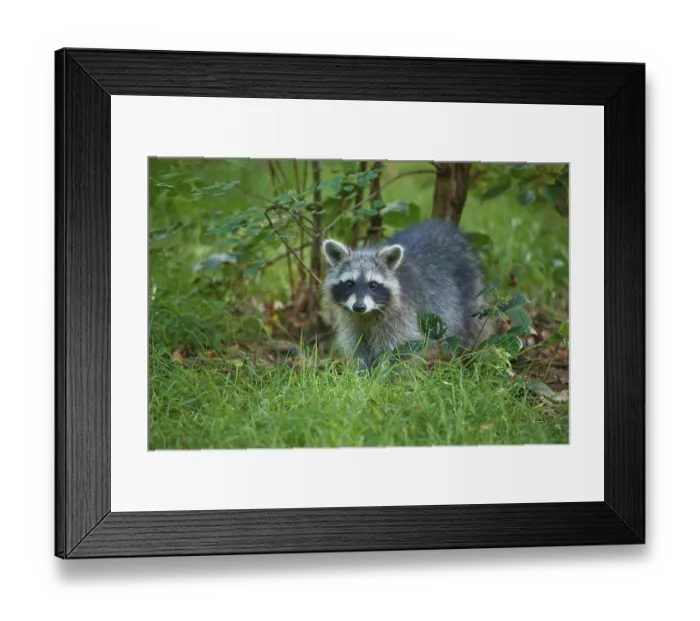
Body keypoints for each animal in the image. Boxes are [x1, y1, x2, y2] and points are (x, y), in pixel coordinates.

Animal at [322, 220, 489, 369]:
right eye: (349, 283)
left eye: (373, 285)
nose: (359, 306)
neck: (368, 314)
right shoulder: (353, 322)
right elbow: (360, 351)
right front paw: (363, 376)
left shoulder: (402, 317)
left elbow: (401, 352)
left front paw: (391, 378)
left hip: (471, 295)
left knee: (471, 333)